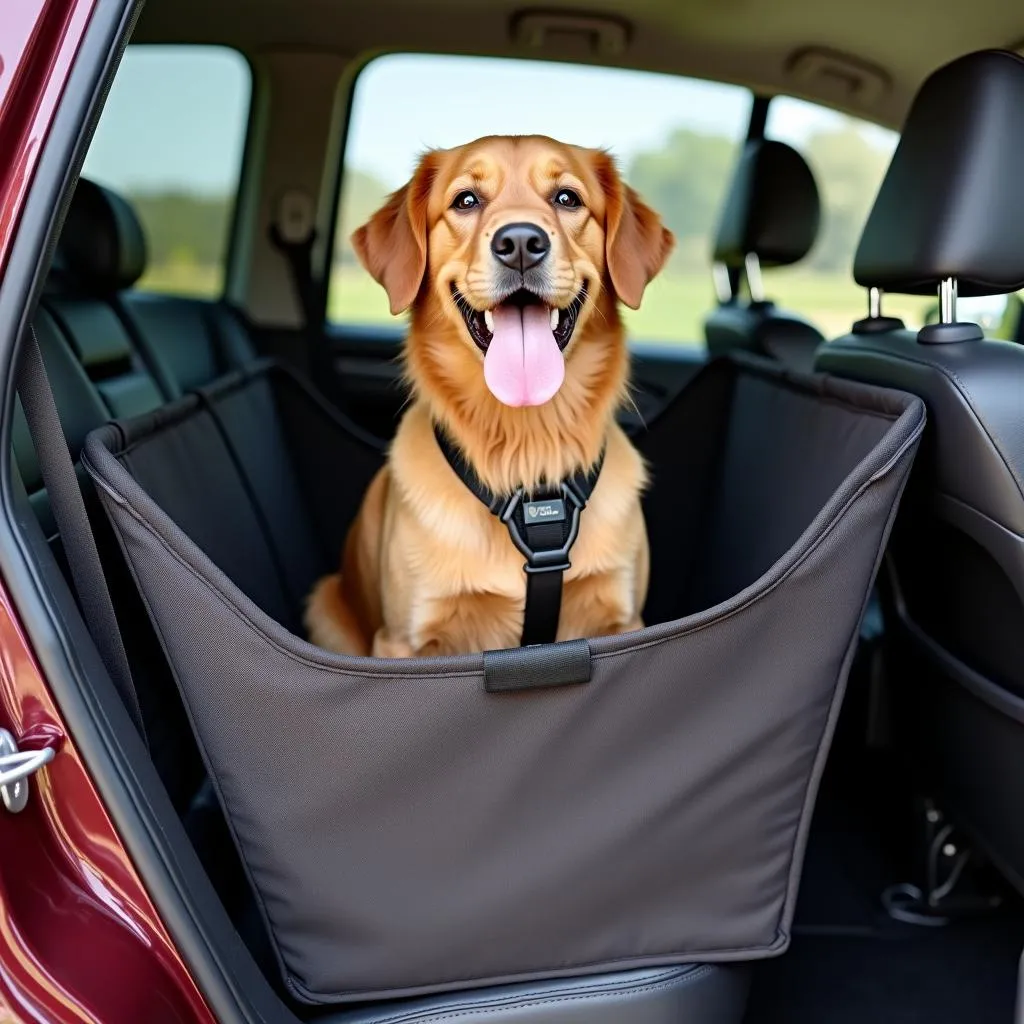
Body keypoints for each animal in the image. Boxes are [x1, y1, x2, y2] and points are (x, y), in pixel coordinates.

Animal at [303, 136, 671, 655]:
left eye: (567, 198)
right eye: (466, 200)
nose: (520, 244)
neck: (527, 445)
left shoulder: (624, 621)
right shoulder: (402, 641)